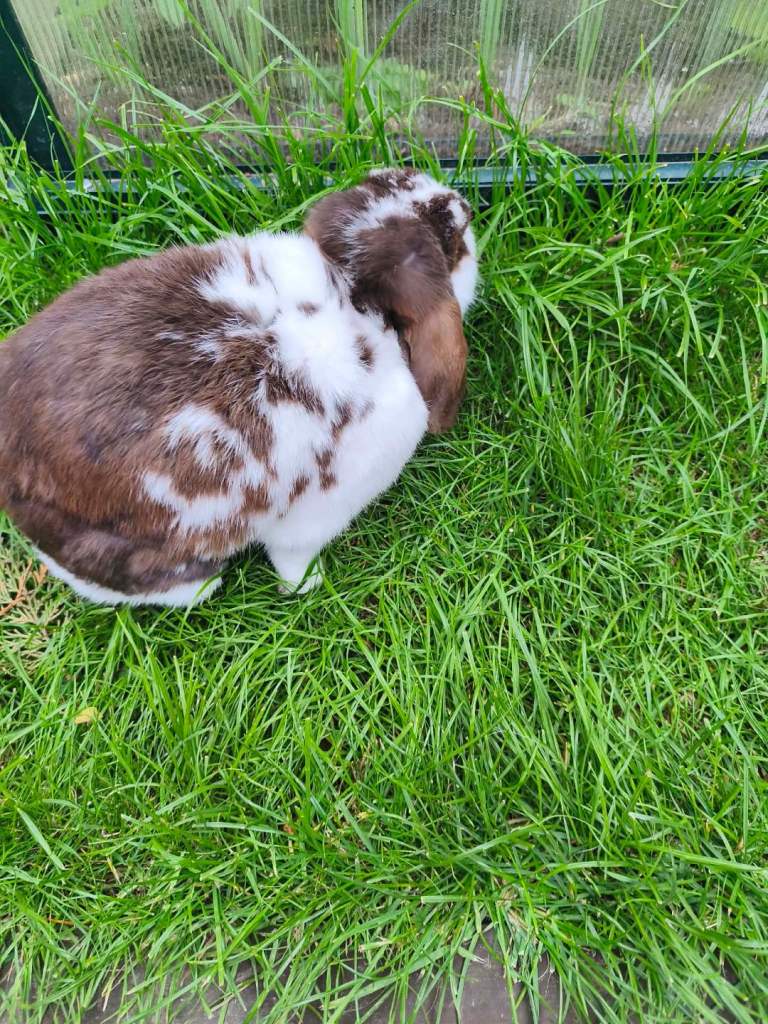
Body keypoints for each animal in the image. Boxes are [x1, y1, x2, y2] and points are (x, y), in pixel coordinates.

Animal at [0, 168, 479, 606]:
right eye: (453, 239)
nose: (465, 203)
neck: (355, 296)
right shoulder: (314, 516)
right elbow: (292, 557)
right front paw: (307, 587)